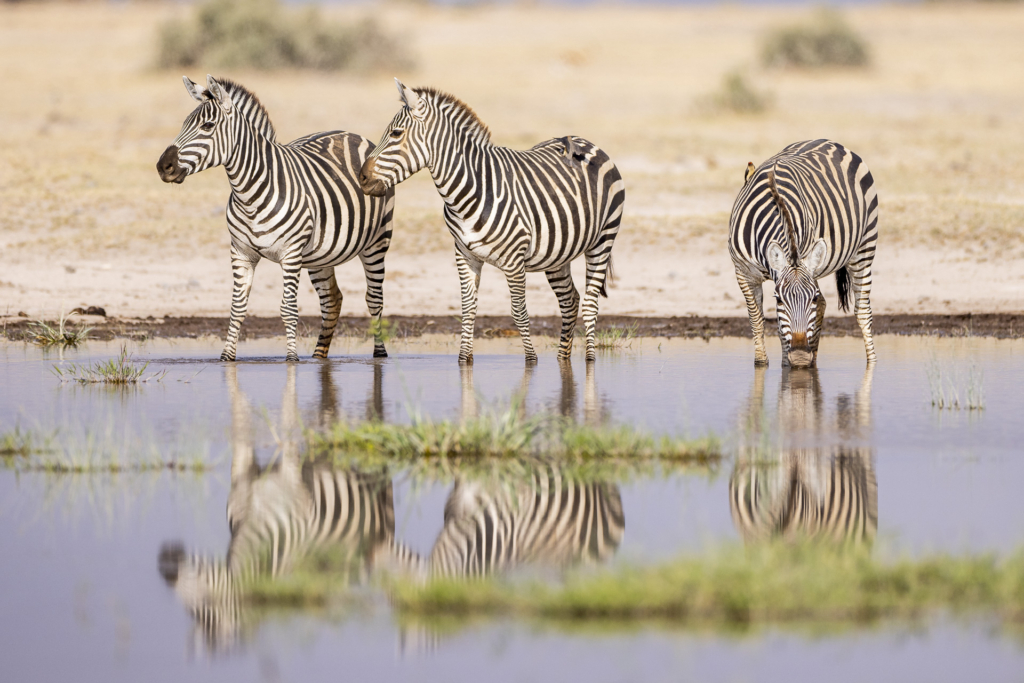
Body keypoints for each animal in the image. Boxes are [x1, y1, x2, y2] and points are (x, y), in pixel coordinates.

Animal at [156, 75, 395, 362]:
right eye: (184, 125)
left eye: (207, 126)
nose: (163, 167)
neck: (249, 194)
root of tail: (351, 133)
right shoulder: (241, 252)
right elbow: (237, 308)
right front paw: (226, 358)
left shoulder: (290, 254)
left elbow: (288, 308)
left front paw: (291, 359)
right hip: (320, 254)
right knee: (332, 299)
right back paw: (318, 356)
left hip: (377, 241)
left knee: (374, 298)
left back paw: (379, 353)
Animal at [358, 81, 622, 362]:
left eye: (396, 134)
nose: (361, 177)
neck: (470, 191)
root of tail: (584, 140)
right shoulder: (465, 254)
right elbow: (467, 307)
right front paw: (464, 359)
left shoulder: (514, 260)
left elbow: (518, 311)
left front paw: (531, 360)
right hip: (558, 252)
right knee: (570, 300)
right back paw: (563, 358)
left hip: (603, 240)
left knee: (590, 302)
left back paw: (590, 358)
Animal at [729, 138, 880, 368]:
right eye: (778, 300)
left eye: (812, 297)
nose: (800, 356)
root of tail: (829, 141)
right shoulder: (743, 272)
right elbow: (757, 318)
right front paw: (765, 361)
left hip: (865, 245)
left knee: (862, 310)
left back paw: (871, 363)